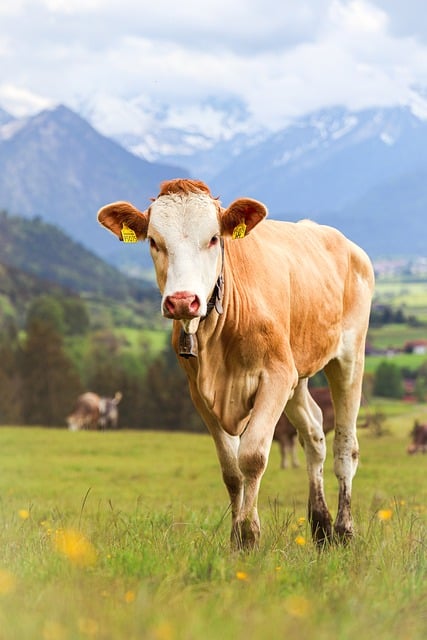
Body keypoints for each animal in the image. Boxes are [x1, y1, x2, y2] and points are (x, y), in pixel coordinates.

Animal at [97, 178, 374, 549]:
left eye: (214, 238)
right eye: (154, 241)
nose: (182, 301)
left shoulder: (275, 377)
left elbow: (252, 457)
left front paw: (248, 534)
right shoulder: (200, 392)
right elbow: (231, 469)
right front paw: (235, 538)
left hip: (349, 356)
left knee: (346, 447)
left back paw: (344, 530)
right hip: (298, 374)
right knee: (314, 434)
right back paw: (320, 526)